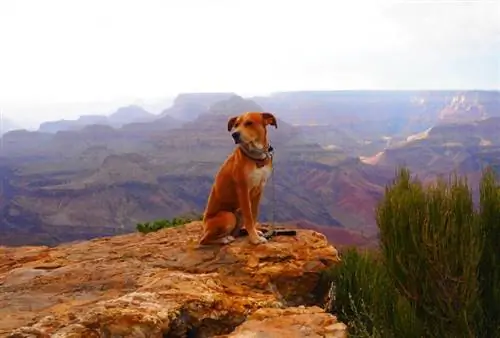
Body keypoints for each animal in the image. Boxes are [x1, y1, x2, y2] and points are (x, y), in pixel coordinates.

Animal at [198, 112, 278, 244]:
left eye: (249, 123)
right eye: (236, 125)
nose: (234, 134)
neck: (256, 157)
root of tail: (204, 226)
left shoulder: (259, 189)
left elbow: (254, 214)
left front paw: (255, 232)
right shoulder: (243, 190)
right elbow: (249, 217)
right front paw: (254, 238)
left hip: (238, 211)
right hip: (228, 216)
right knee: (204, 239)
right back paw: (224, 239)